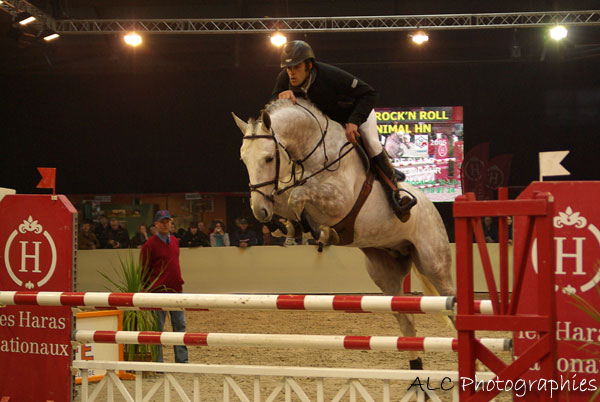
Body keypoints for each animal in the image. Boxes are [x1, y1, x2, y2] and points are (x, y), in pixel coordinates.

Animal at [233, 98, 454, 369]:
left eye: (269, 158)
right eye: (243, 160)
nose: (260, 210)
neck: (314, 154)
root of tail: (432, 207)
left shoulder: (340, 201)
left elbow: (298, 196)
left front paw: (323, 233)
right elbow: (289, 199)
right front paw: (288, 227)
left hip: (434, 264)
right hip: (386, 274)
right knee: (406, 321)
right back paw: (416, 367)